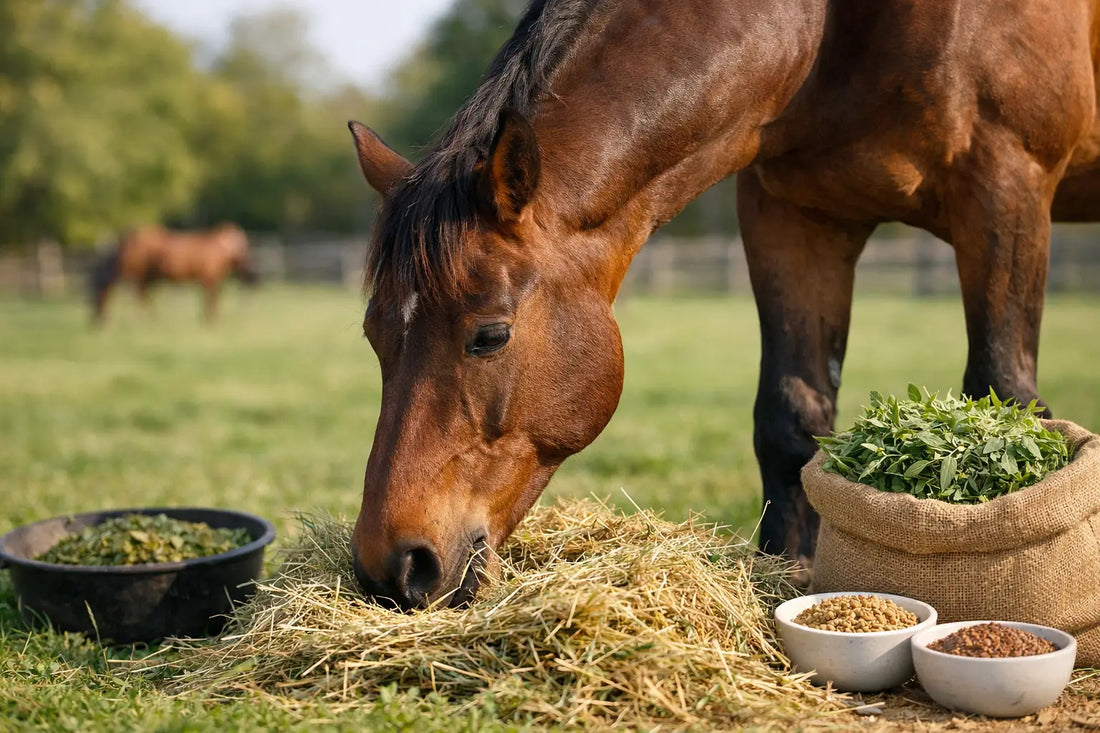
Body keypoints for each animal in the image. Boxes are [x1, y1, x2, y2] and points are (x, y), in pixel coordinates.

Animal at [90, 223, 258, 325]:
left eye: (95, 297)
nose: (94, 322)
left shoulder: (211, 280)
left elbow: (211, 302)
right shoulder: (209, 279)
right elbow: (210, 302)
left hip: (144, 277)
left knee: (142, 297)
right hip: (143, 277)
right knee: (142, 297)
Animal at [346, 0, 1100, 608]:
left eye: (491, 335)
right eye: (375, 337)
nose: (393, 568)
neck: (826, 27)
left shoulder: (1006, 189)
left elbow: (1006, 394)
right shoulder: (791, 215)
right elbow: (792, 416)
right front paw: (787, 573)